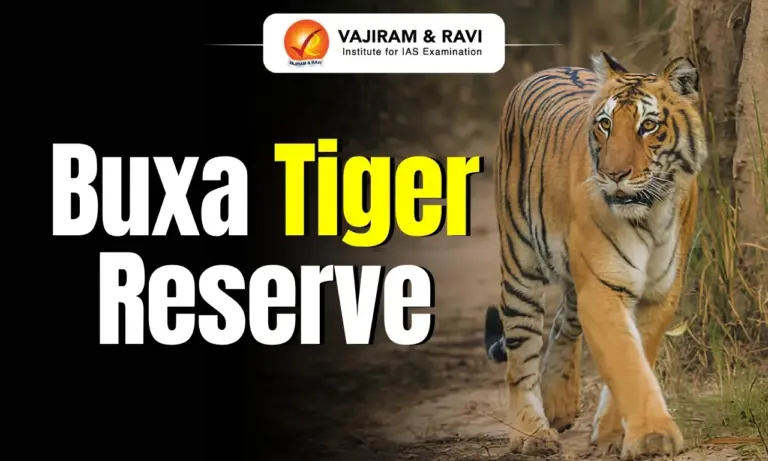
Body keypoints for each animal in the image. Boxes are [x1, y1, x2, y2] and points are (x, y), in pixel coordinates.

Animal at [483, 51, 705, 459]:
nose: (614, 174)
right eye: (605, 124)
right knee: (520, 358)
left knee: (562, 322)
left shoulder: (660, 292)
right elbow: (626, 360)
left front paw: (613, 433)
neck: (650, 215)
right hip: (520, 265)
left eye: (648, 126)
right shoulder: (602, 287)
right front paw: (653, 436)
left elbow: (638, 356)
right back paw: (532, 433)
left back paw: (559, 403)